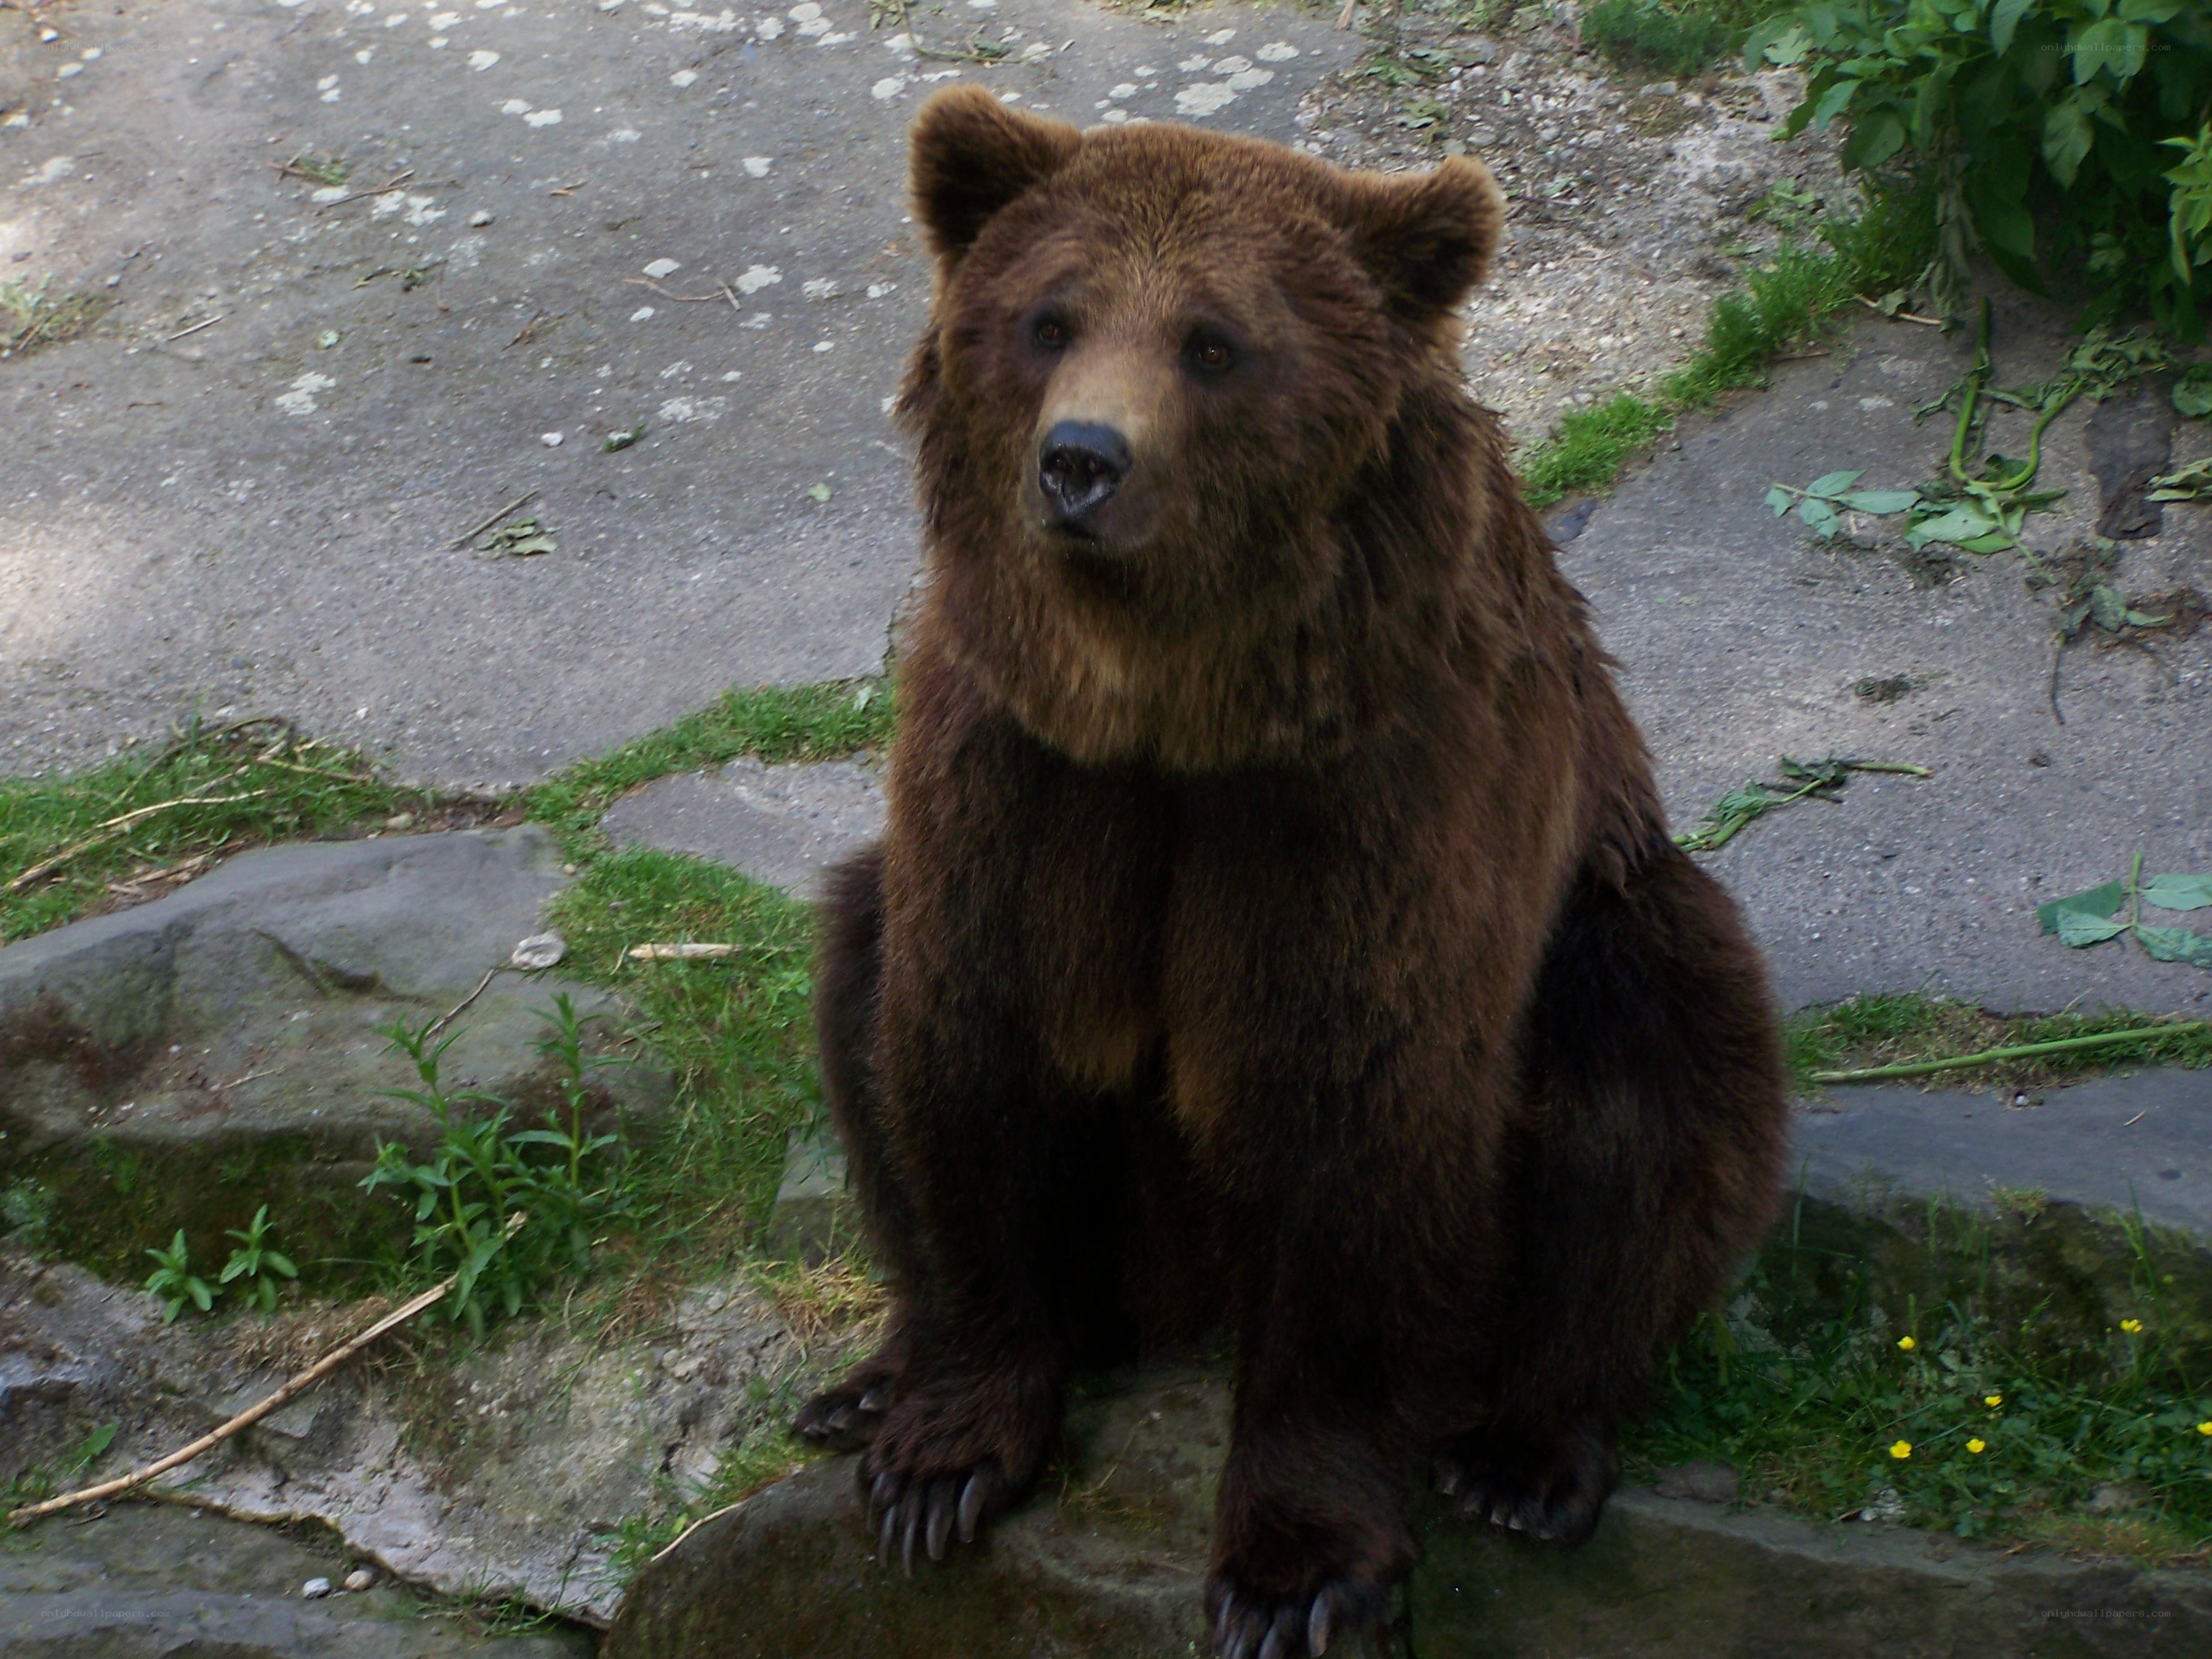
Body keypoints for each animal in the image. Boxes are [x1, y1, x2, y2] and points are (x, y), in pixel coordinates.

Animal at [793, 84, 1789, 1658]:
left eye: (1212, 341)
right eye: (1049, 318)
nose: (1081, 461)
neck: (1173, 706)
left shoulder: (1366, 791)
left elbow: (1352, 1103)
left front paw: (1294, 1570)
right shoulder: (1018, 762)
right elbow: (969, 1046)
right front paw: (940, 1463)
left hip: (1607, 912)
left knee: (1656, 1066)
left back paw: (1529, 1451)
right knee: (855, 954)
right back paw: (869, 1377)